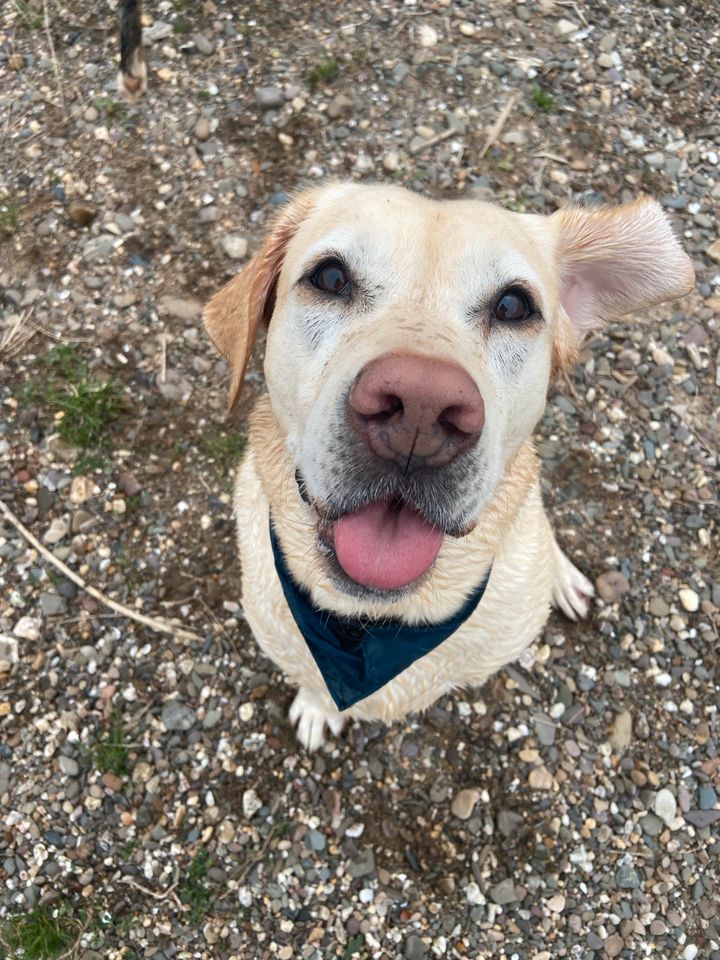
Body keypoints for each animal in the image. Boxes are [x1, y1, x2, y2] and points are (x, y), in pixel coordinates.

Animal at [202, 182, 692, 752]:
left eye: (512, 306)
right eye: (330, 278)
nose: (420, 407)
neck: (375, 626)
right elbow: (313, 678)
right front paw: (318, 706)